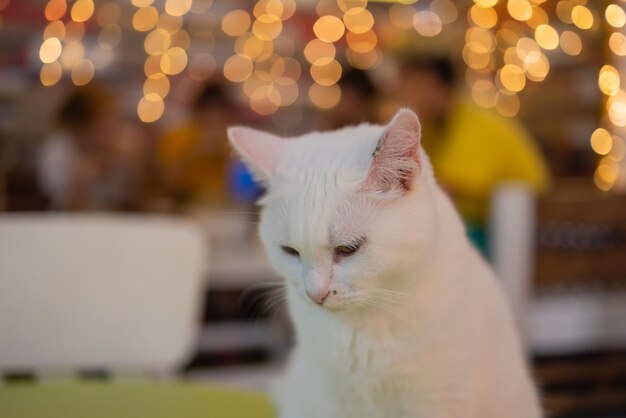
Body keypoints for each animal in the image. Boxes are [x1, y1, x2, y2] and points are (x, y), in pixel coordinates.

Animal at [227, 109, 540, 418]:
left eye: (348, 249)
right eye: (290, 251)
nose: (315, 294)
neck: (361, 331)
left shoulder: (439, 398)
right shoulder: (331, 400)